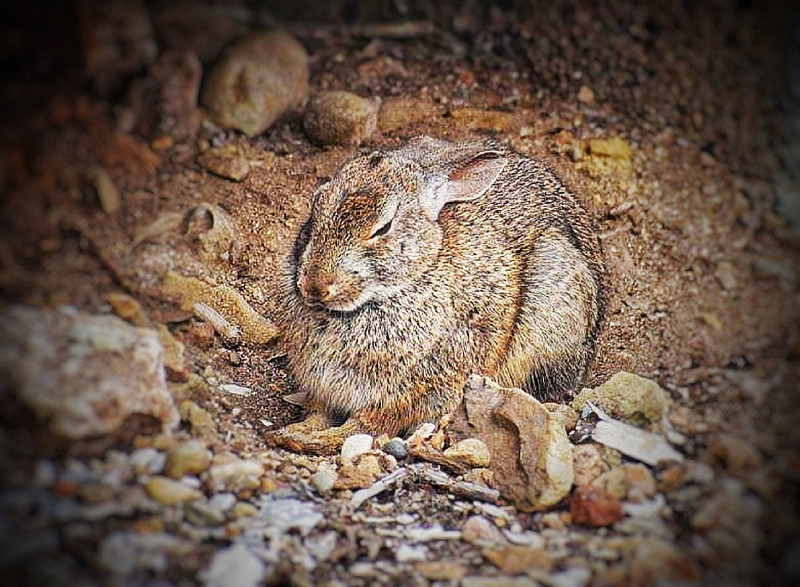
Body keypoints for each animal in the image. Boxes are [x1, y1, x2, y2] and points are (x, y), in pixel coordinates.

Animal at [266, 134, 608, 454]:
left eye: (383, 228)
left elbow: (366, 425)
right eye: (314, 209)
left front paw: (313, 440)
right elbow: (318, 414)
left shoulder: (419, 389)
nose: (314, 286)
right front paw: (292, 433)